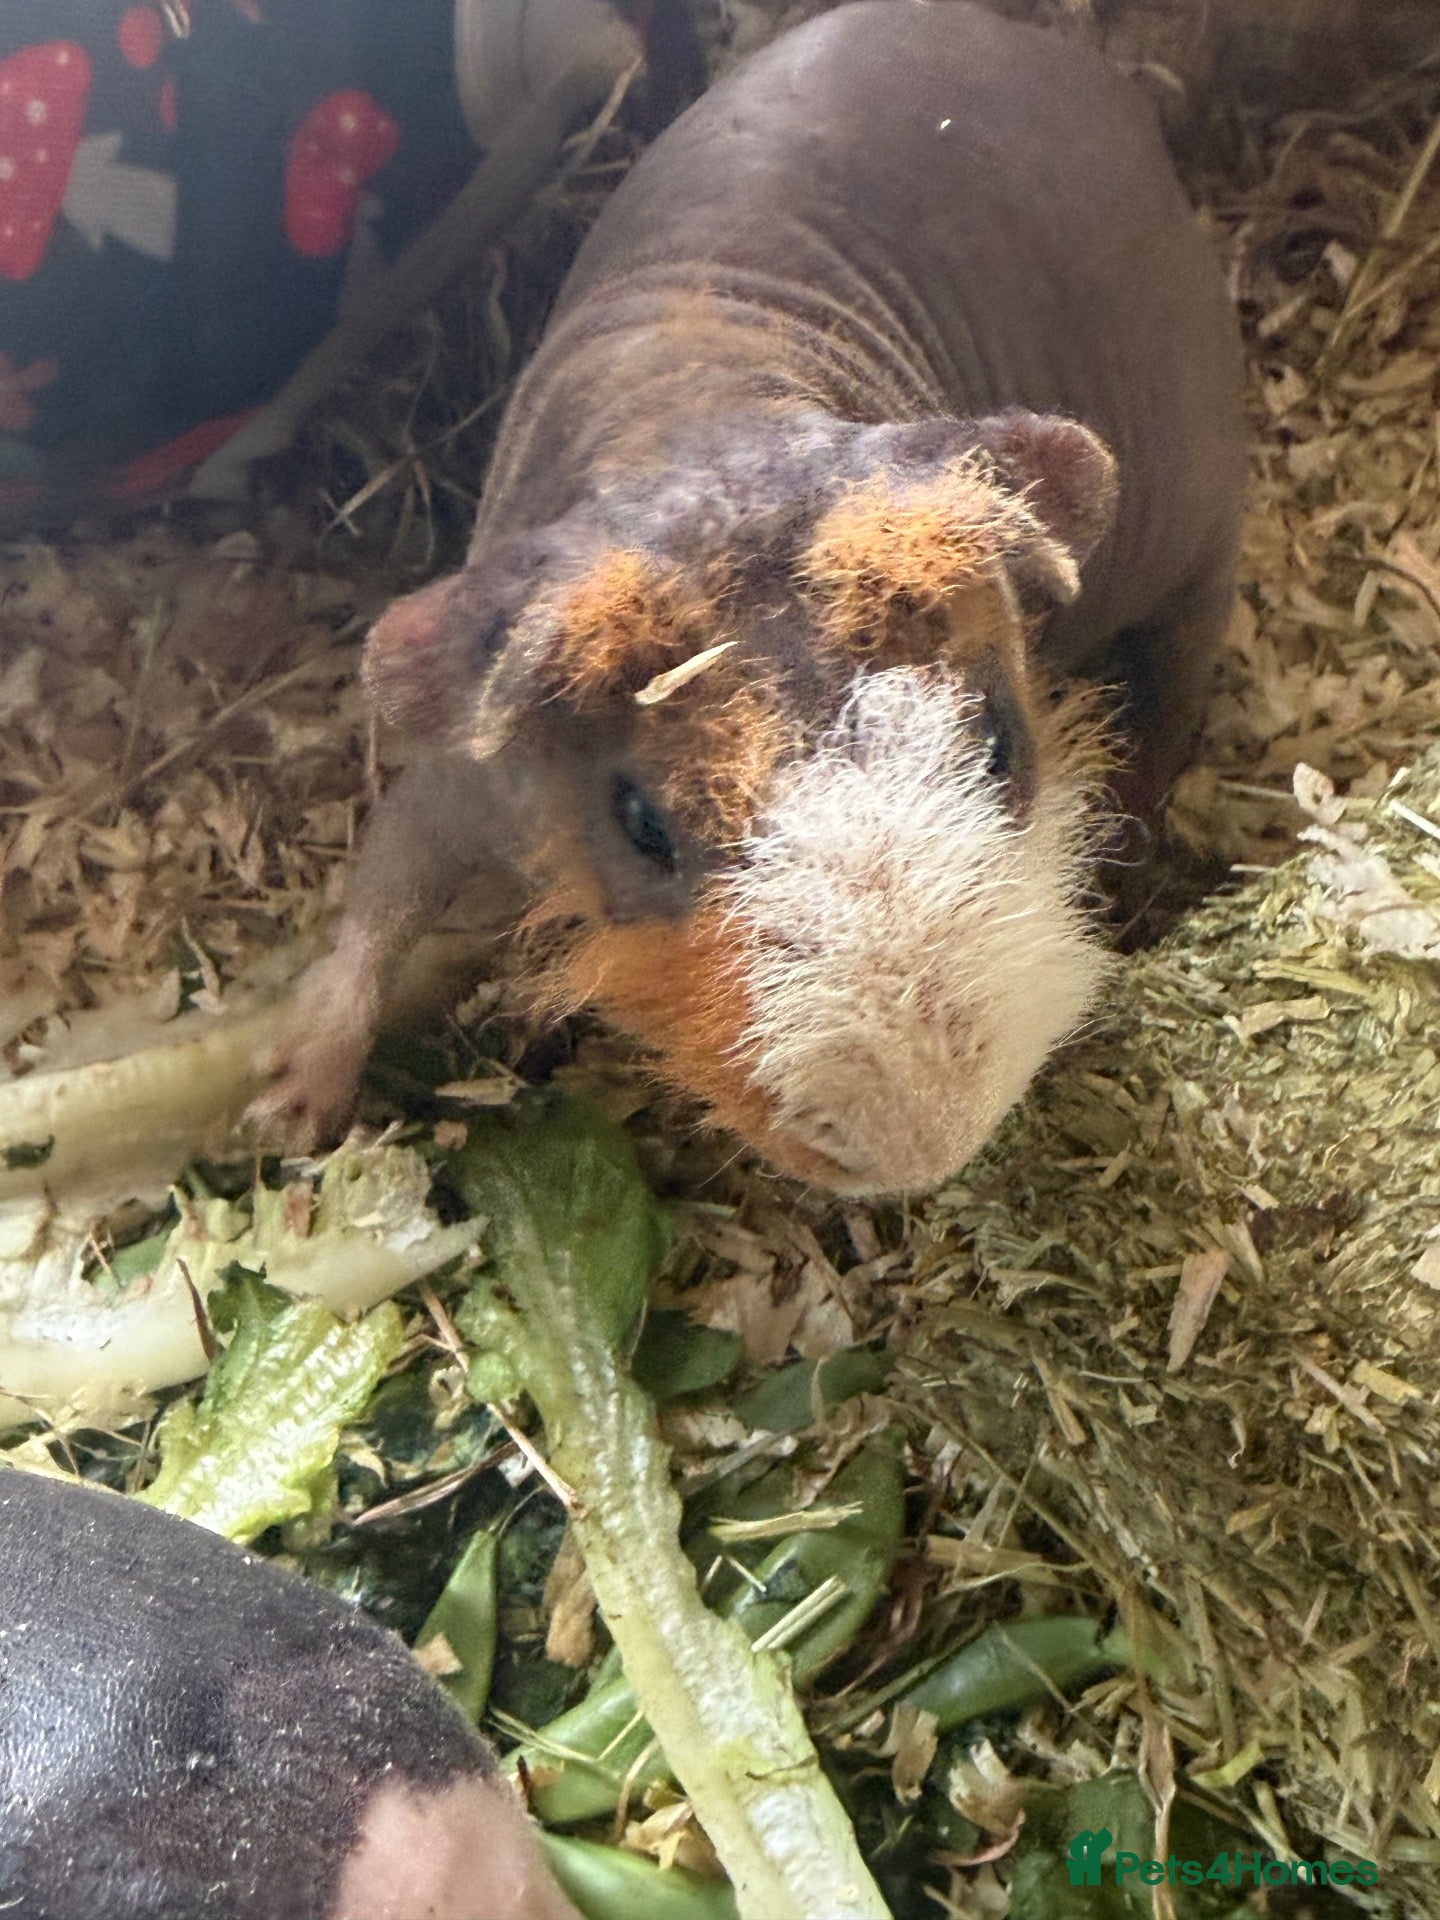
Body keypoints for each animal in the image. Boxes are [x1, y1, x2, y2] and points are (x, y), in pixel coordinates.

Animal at [247, 0, 1246, 1196]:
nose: (924, 1146)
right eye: (641, 825)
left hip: (1199, 540)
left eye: (1001, 743)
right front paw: (284, 1114)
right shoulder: (463, 792)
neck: (705, 423)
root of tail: (1106, 86)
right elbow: (380, 899)